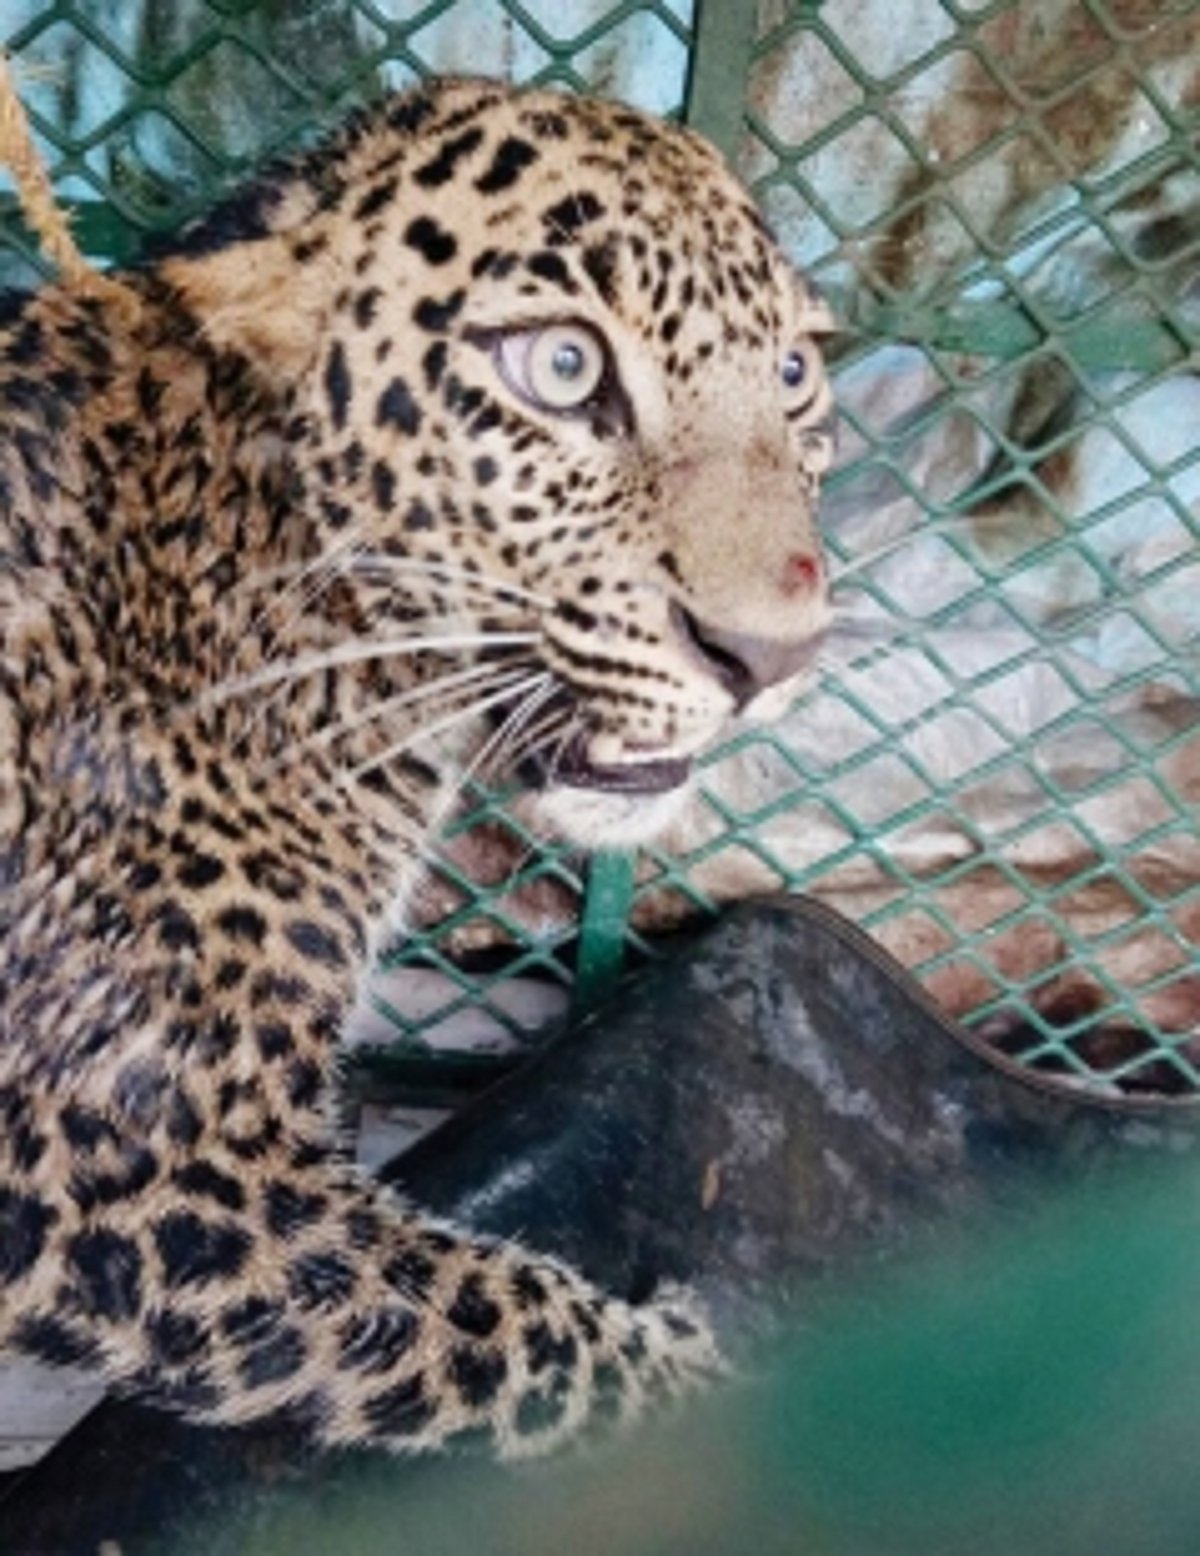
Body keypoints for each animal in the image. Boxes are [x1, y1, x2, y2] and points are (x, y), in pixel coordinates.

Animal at [0, 75, 835, 1458]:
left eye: (797, 375)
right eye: (563, 367)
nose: (772, 655)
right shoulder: (112, 1156)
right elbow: (495, 1316)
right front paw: (705, 1397)